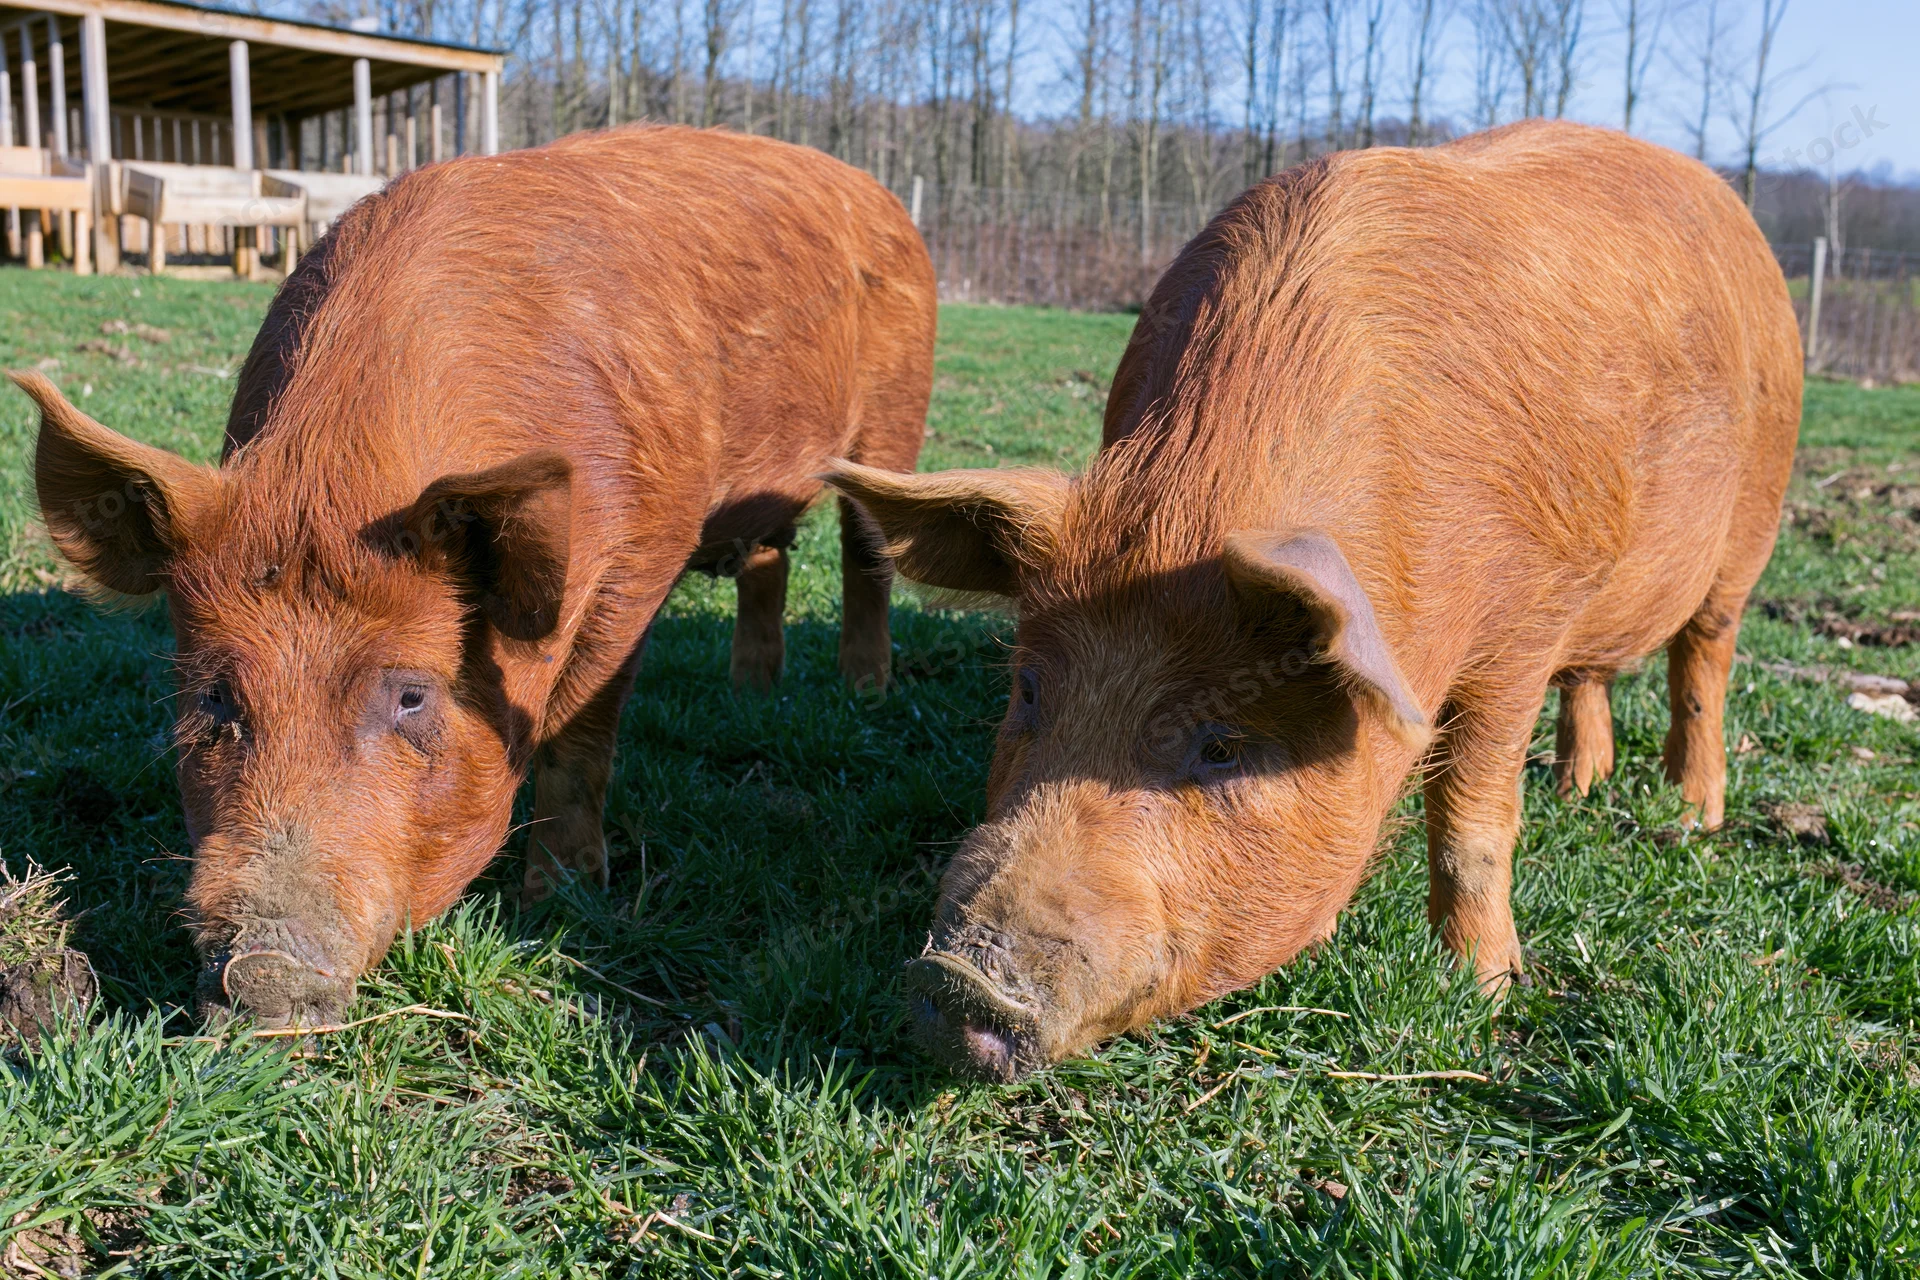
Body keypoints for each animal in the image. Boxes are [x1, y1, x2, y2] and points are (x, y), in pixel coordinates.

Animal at [18, 124, 934, 1027]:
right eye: (215, 697)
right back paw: (751, 695)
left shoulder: (646, 559)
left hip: (898, 415)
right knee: (770, 557)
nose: (264, 967)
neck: (336, 478)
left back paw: (866, 692)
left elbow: (580, 734)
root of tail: (879, 194)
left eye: (413, 695)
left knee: (867, 552)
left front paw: (558, 901)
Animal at [827, 120, 1801, 1080]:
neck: (1194, 498)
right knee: (1593, 677)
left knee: (1704, 660)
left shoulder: (1526, 623)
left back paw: (1693, 813)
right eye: (1028, 692)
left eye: (1222, 747)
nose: (959, 984)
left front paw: (1483, 992)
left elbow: (1475, 820)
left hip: (1753, 523)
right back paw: (1578, 787)